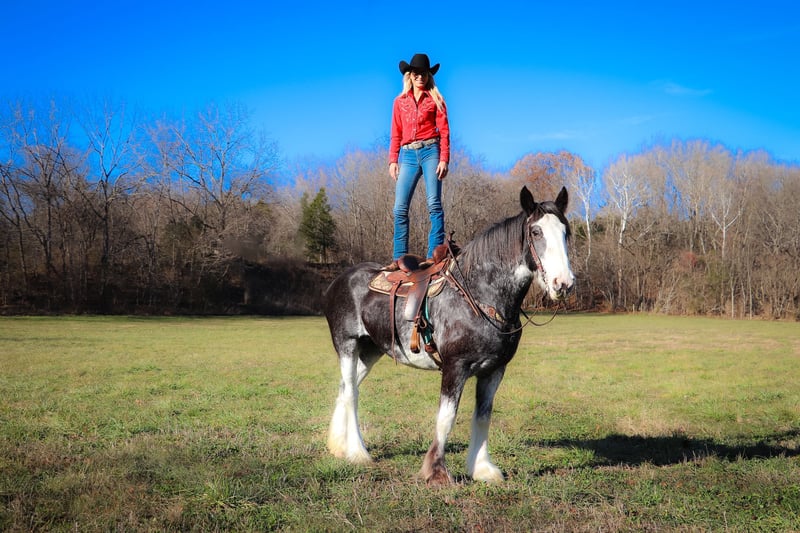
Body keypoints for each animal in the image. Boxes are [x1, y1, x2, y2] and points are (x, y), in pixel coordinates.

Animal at [323, 186, 574, 485]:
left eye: (566, 232)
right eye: (536, 232)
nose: (564, 283)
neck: (479, 295)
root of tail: (339, 280)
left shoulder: (494, 371)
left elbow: (483, 417)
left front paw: (483, 468)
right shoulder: (455, 368)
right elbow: (446, 417)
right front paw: (437, 472)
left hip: (371, 350)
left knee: (344, 389)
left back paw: (339, 446)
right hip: (347, 345)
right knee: (351, 393)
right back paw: (357, 451)